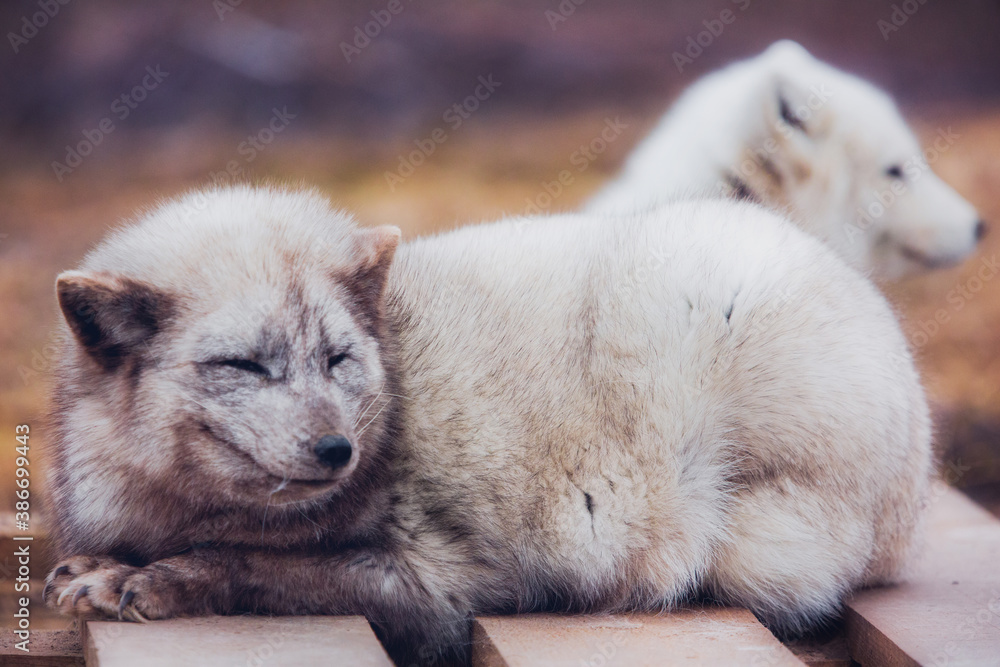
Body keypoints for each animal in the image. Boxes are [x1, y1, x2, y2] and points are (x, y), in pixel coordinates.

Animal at [45, 185, 932, 660]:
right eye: (243, 364)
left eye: (337, 358)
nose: (336, 448)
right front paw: (110, 561)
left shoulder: (437, 582)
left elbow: (254, 566)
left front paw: (148, 579)